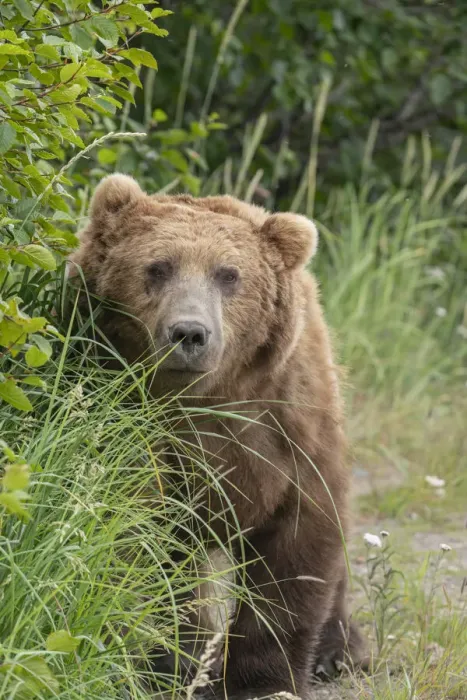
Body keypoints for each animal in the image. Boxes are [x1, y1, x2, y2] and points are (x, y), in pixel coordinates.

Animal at [69, 174, 367, 699]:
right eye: (158, 267)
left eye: (229, 274)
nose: (189, 333)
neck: (206, 396)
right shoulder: (132, 423)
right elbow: (133, 536)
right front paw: (165, 665)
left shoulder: (289, 426)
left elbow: (298, 546)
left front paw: (265, 680)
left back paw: (338, 652)